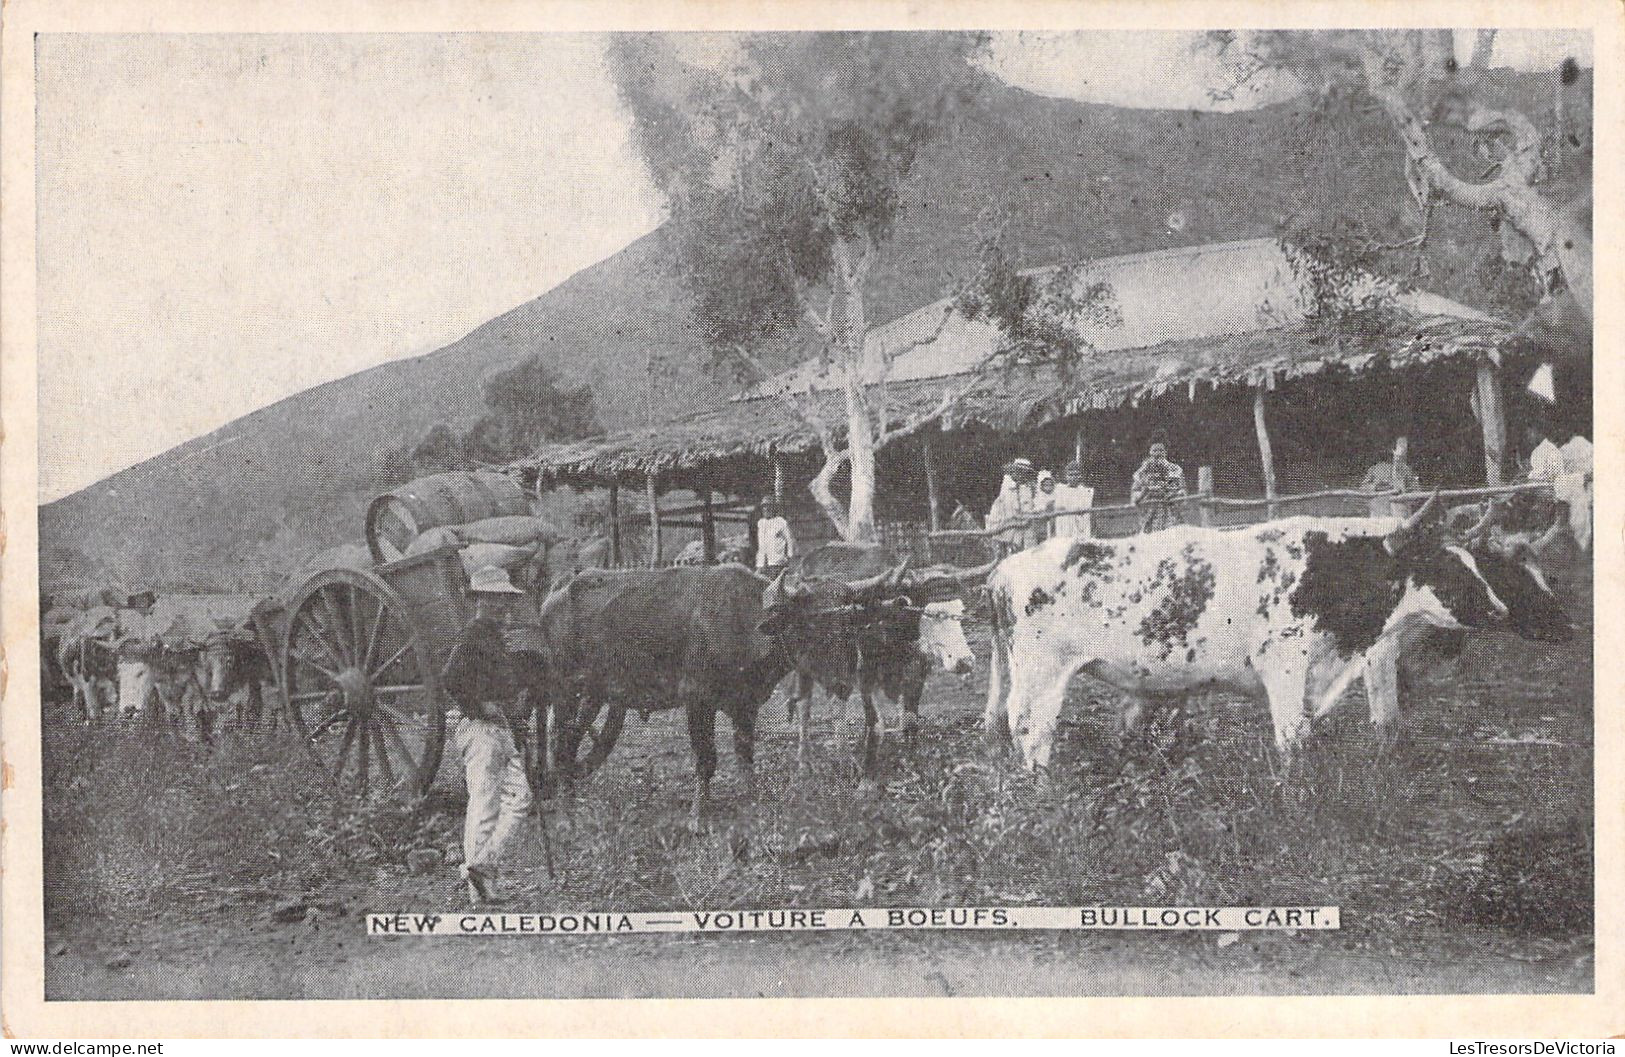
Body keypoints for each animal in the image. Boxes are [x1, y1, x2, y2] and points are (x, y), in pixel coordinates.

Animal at [529, 562, 789, 809]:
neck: (742, 619)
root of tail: (560, 589)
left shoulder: (746, 706)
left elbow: (745, 758)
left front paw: (751, 802)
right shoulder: (697, 699)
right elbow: (706, 759)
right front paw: (699, 813)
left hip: (593, 693)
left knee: (572, 739)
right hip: (565, 691)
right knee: (559, 742)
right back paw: (565, 802)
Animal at [754, 546, 968, 777]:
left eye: (959, 612)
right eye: (929, 614)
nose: (965, 661)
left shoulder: (916, 674)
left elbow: (909, 722)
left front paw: (911, 763)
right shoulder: (863, 677)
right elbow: (875, 726)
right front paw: (867, 768)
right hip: (808, 670)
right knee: (806, 707)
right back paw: (807, 762)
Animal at [981, 494, 1553, 764]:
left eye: (1477, 564)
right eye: (1445, 568)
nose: (1498, 610)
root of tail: (1004, 569)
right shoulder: (1284, 665)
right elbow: (1292, 738)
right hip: (1042, 677)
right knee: (1031, 733)